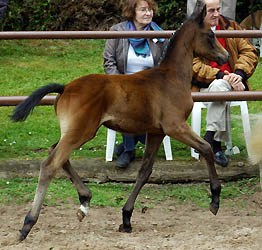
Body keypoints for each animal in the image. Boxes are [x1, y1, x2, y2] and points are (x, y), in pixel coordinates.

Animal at [11, 1, 228, 240]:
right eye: (210, 34)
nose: (225, 56)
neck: (171, 77)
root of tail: (65, 87)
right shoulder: (175, 126)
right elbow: (206, 148)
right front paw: (215, 200)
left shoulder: (156, 132)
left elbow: (144, 171)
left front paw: (126, 218)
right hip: (82, 132)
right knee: (50, 164)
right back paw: (28, 224)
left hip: (75, 132)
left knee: (56, 154)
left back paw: (84, 202)